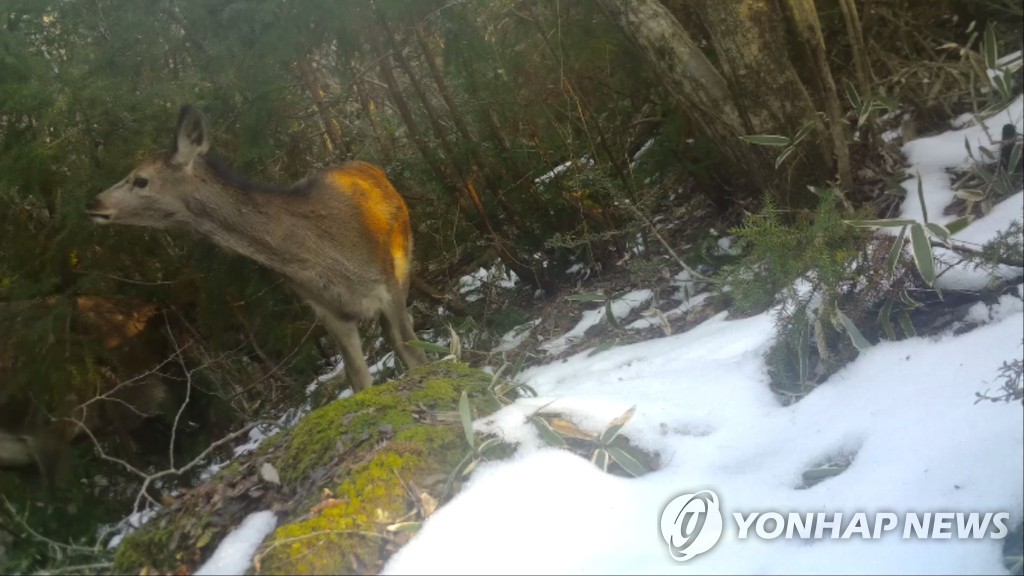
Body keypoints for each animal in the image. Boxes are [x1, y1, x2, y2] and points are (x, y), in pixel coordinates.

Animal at [82, 104, 428, 389]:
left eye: (140, 180)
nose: (92, 203)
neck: (326, 258)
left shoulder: (388, 287)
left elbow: (415, 357)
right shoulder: (328, 312)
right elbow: (359, 380)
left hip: (404, 268)